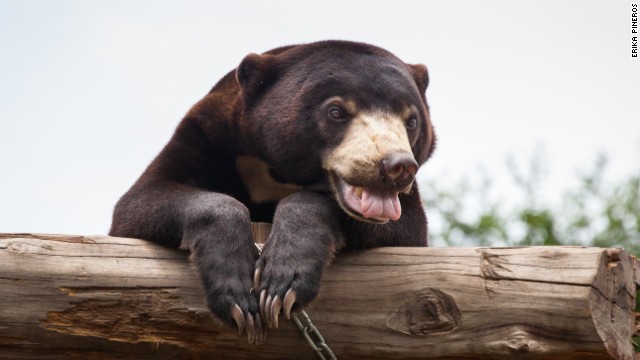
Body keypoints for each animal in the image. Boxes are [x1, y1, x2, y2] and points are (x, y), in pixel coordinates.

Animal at [112, 40, 438, 344]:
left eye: (411, 120)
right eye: (336, 111)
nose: (397, 166)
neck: (275, 172)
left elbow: (406, 228)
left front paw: (282, 285)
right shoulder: (207, 135)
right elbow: (140, 202)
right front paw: (238, 298)